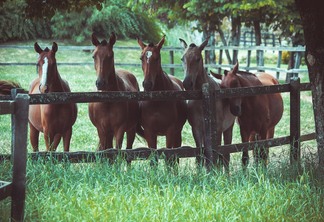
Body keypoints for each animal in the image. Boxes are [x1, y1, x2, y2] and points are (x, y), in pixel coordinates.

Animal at [180, 38, 235, 170]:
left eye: (198, 59)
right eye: (182, 59)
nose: (187, 83)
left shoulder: (218, 129)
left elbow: (217, 156)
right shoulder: (196, 129)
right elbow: (200, 155)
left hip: (228, 128)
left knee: (226, 156)